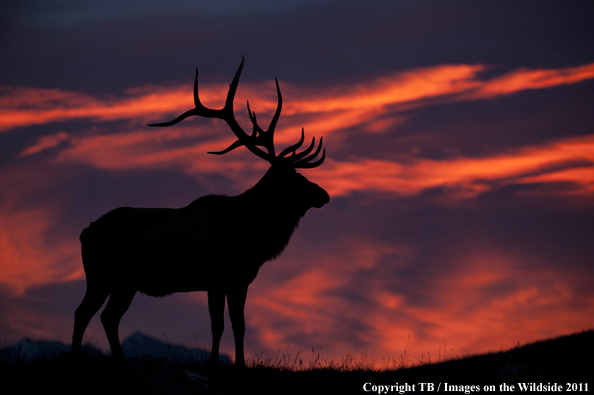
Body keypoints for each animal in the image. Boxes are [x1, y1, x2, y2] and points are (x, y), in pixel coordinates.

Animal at [71, 57, 328, 366]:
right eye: (293, 179)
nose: (324, 194)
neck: (251, 238)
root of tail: (85, 232)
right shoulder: (215, 279)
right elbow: (217, 325)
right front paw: (215, 362)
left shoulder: (240, 281)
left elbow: (239, 326)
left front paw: (240, 364)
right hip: (100, 275)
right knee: (83, 313)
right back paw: (74, 358)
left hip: (124, 283)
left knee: (109, 317)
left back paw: (120, 360)